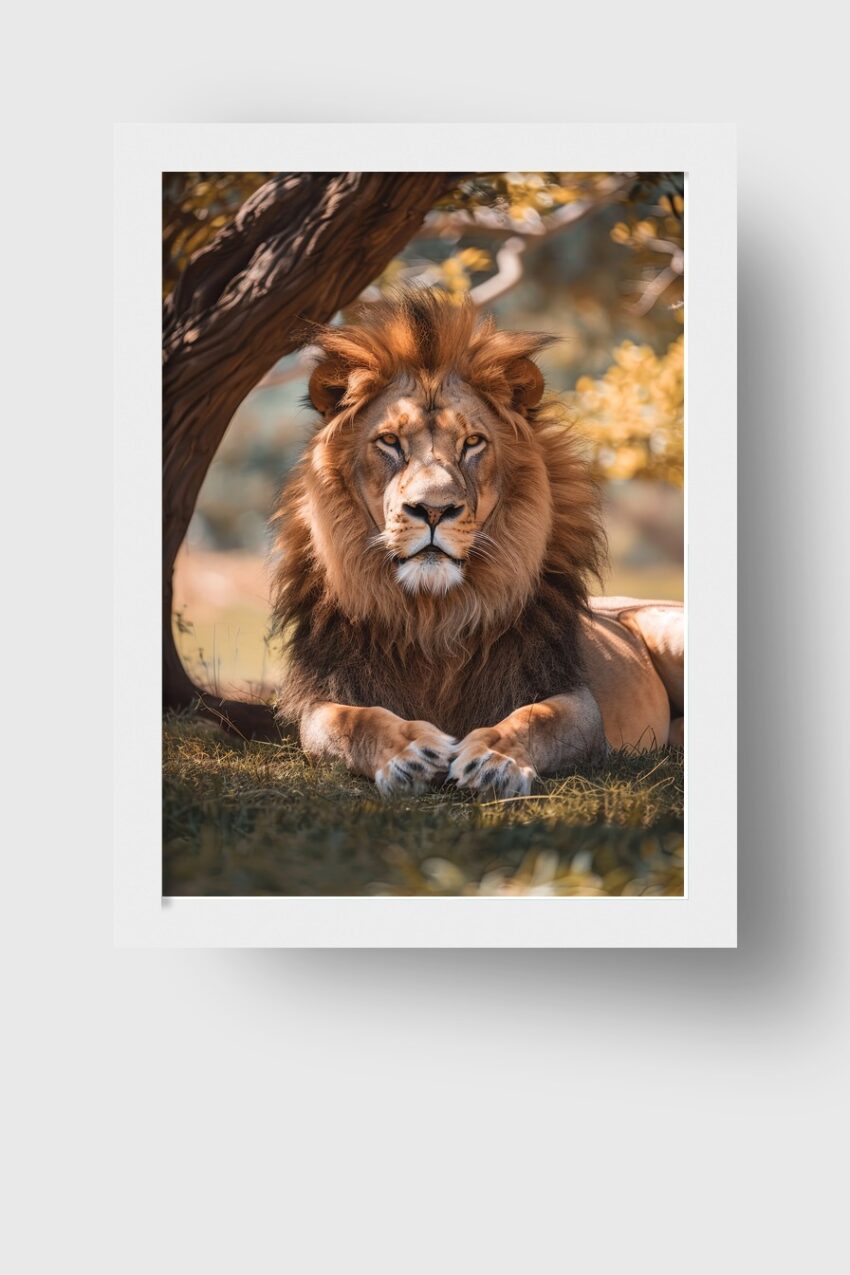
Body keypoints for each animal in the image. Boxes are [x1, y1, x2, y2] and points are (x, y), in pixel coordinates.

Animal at [271, 289, 684, 798]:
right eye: (389, 441)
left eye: (472, 442)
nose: (432, 510)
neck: (433, 616)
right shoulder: (325, 698)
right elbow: (357, 721)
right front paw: (410, 752)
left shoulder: (575, 700)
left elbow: (534, 718)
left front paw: (494, 760)